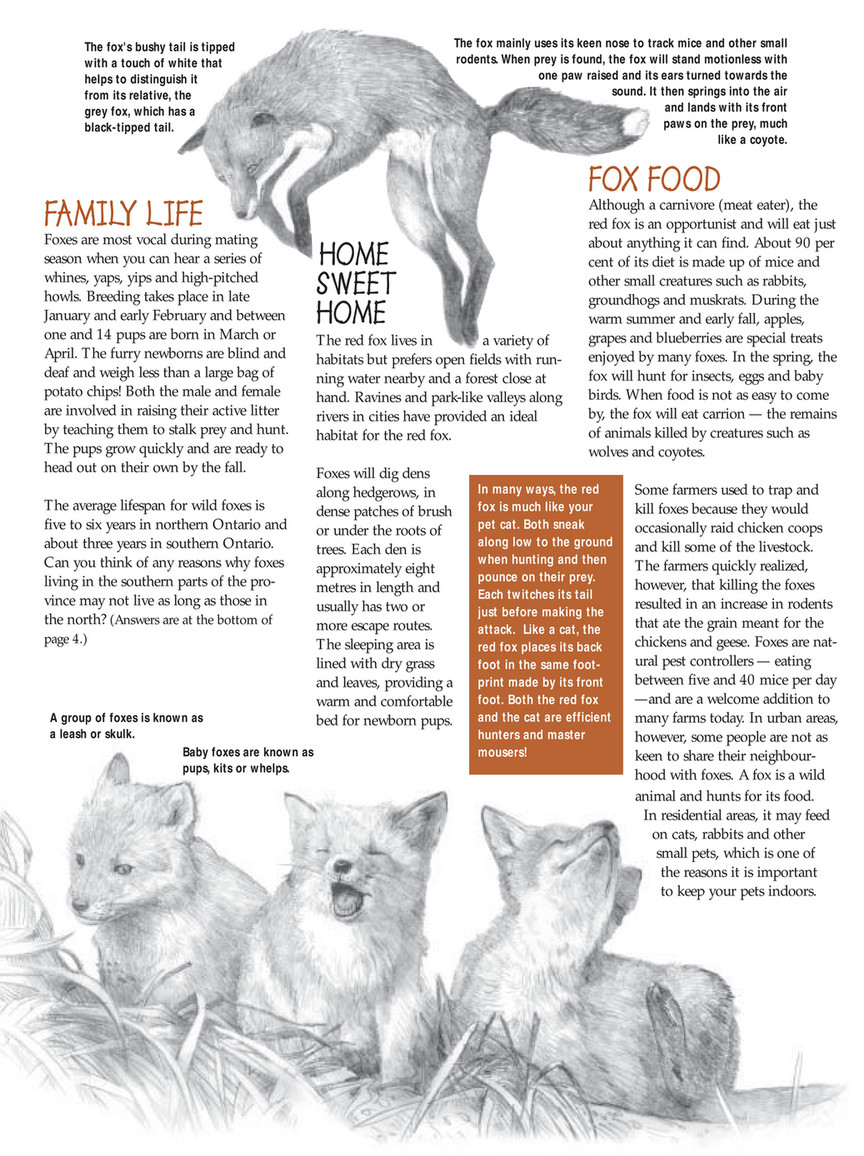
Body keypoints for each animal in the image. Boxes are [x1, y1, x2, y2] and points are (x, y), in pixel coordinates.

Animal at [179, 30, 648, 345]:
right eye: (221, 178)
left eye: (251, 164)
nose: (240, 214)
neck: (304, 83)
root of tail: (482, 115)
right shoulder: (302, 148)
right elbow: (277, 196)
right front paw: (295, 240)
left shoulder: (358, 137)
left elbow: (295, 190)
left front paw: (303, 237)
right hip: (408, 204)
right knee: (452, 267)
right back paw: (453, 330)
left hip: (449, 197)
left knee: (483, 259)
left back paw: (470, 327)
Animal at [238, 791, 447, 1085]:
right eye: (325, 850)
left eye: (374, 852)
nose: (341, 864)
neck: (354, 944)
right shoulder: (314, 994)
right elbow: (321, 1050)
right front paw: (329, 1086)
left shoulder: (399, 988)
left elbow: (396, 1047)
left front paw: (396, 1087)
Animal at [452, 808, 838, 1124]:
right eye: (559, 839)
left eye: (617, 852)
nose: (610, 825)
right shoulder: (479, 1034)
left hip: (705, 989)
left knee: (692, 1086)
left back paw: (666, 1016)